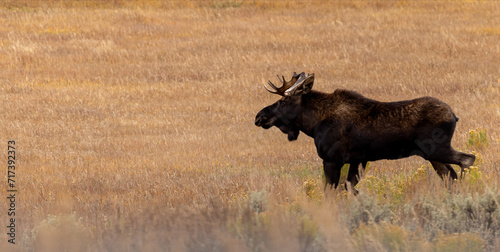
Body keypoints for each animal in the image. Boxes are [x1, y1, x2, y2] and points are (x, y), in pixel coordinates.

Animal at [256, 72, 474, 192]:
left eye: (283, 100)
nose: (260, 116)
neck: (314, 124)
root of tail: (454, 115)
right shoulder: (358, 160)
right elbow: (349, 188)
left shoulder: (332, 159)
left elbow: (331, 191)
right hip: (431, 156)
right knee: (450, 175)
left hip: (437, 150)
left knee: (467, 160)